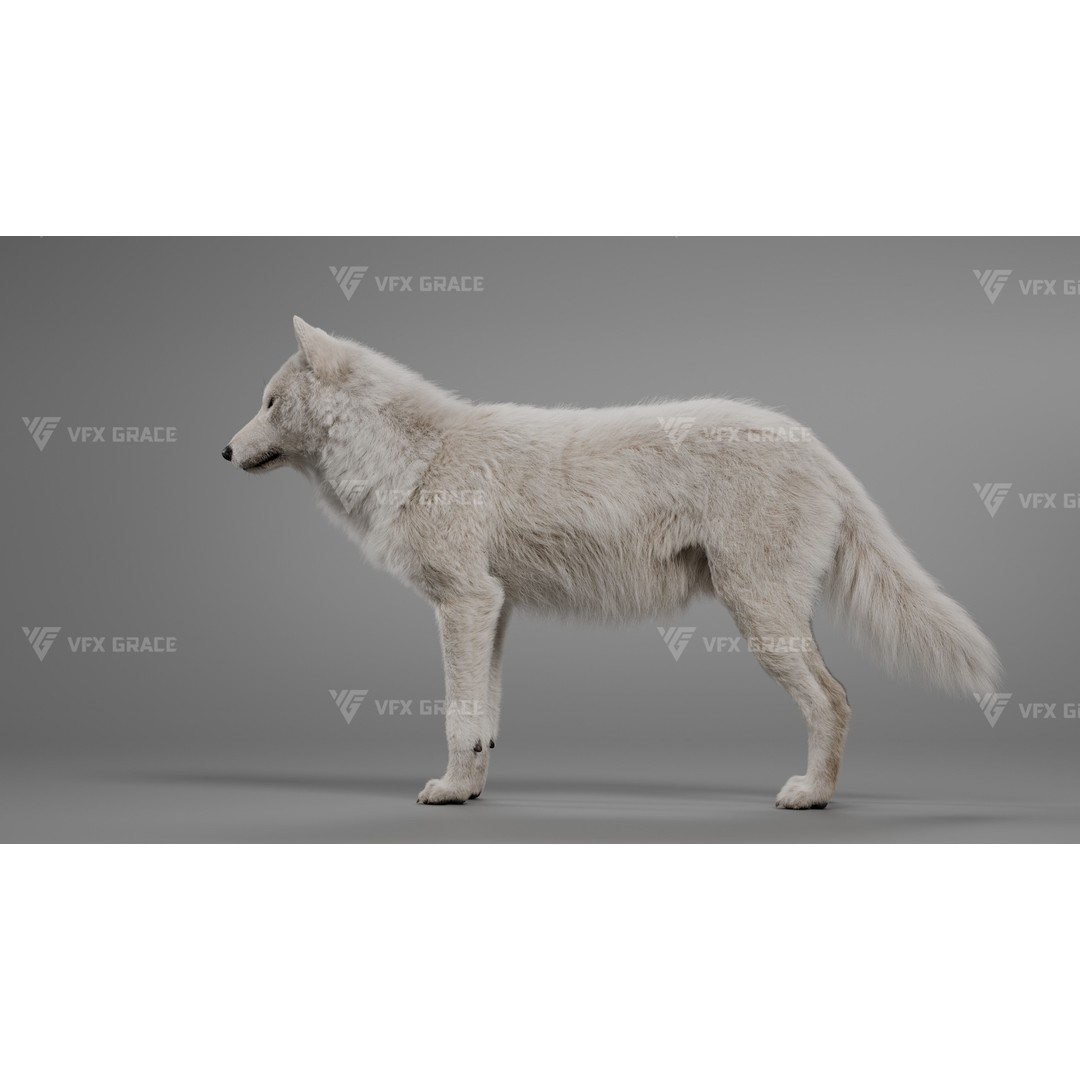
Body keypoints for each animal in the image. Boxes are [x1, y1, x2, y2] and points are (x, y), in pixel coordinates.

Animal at [223, 317, 1001, 809]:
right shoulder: (493, 609)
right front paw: (470, 789)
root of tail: (814, 444)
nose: (224, 451)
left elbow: (455, 714)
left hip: (760, 617)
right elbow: (484, 722)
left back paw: (810, 797)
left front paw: (444, 791)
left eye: (269, 402)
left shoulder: (463, 604)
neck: (411, 460)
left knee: (832, 698)